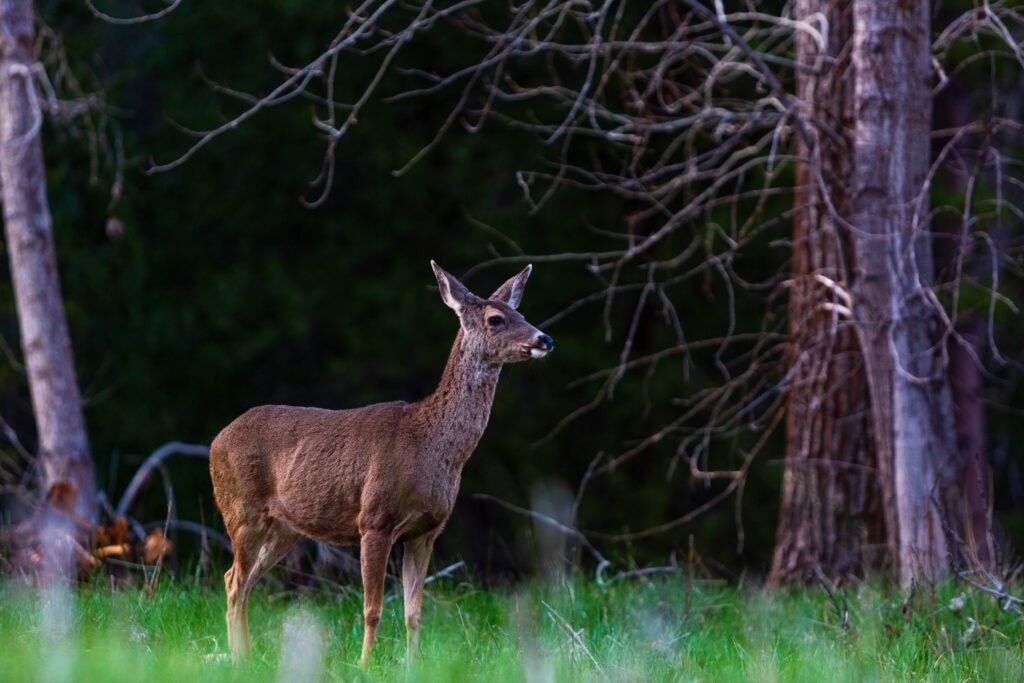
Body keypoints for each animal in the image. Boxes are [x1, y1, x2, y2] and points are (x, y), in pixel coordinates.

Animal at [209, 261, 553, 667]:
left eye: (523, 314)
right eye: (496, 319)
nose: (545, 338)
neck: (431, 445)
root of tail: (216, 440)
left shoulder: (426, 531)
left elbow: (414, 611)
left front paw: (414, 663)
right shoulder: (374, 519)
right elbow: (372, 608)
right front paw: (364, 664)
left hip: (285, 528)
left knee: (239, 580)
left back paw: (245, 656)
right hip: (241, 510)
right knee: (234, 581)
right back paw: (239, 658)